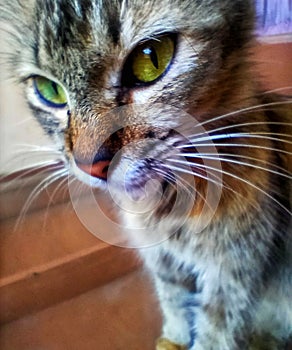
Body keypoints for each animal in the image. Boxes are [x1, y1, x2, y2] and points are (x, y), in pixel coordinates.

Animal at [1, 0, 290, 350]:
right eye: (49, 90)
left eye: (151, 58)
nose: (89, 165)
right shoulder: (162, 261)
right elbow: (173, 301)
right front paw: (173, 339)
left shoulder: (232, 274)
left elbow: (214, 332)